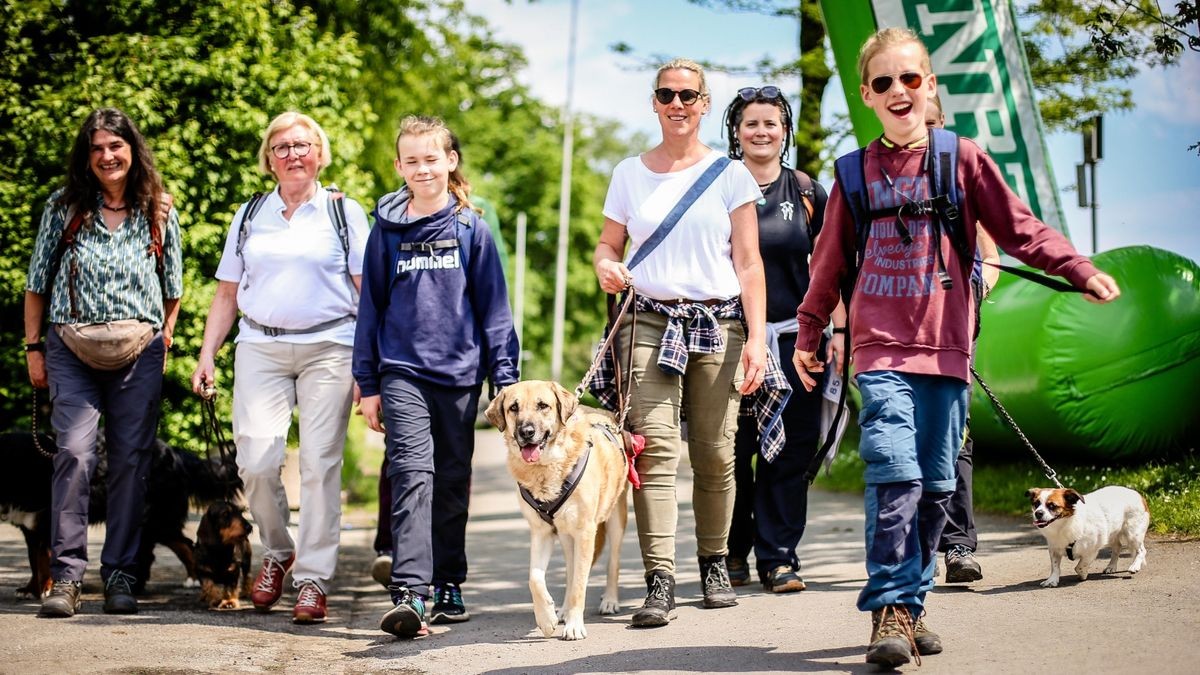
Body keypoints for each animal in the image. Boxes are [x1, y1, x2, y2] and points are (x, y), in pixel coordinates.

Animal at [482, 379, 628, 634]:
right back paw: (563, 611)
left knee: (612, 562)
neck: (547, 467)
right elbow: (535, 577)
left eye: (543, 405)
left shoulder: (585, 532)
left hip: (615, 519)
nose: (526, 432)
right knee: (570, 570)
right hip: (566, 535)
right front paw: (546, 617)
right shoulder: (542, 532)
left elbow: (580, 583)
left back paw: (609, 600)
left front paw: (574, 626)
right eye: (513, 408)